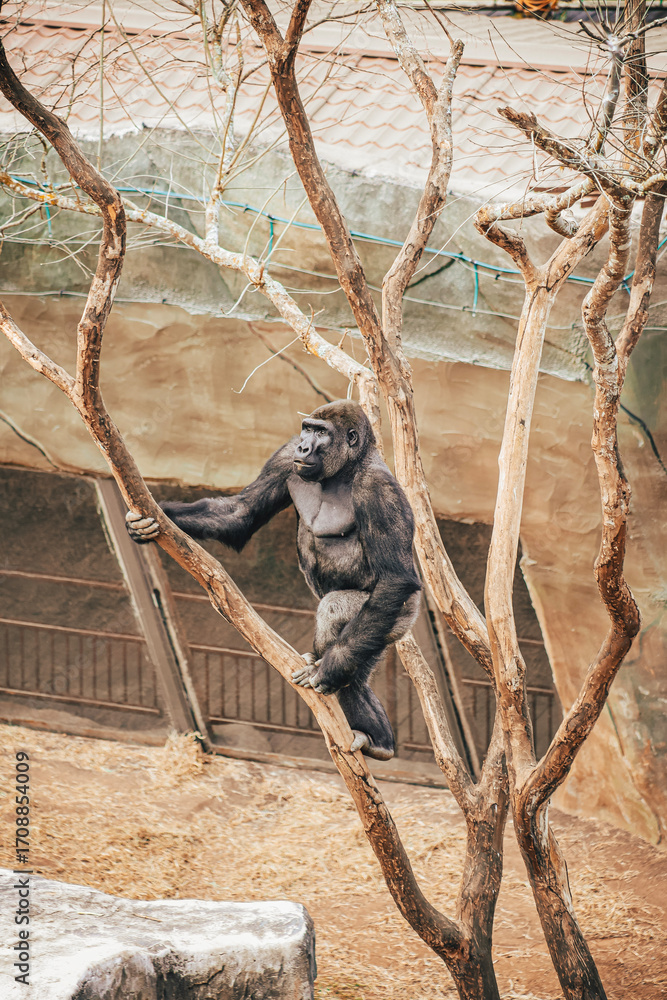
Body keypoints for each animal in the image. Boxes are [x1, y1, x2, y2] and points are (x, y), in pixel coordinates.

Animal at [126, 400, 421, 760]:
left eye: (322, 433)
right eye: (307, 429)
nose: (304, 446)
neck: (345, 468)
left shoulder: (380, 490)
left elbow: (395, 578)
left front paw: (330, 668)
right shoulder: (284, 458)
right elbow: (240, 512)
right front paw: (153, 517)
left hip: (401, 616)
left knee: (344, 615)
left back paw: (374, 736)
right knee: (360, 668)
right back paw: (374, 735)